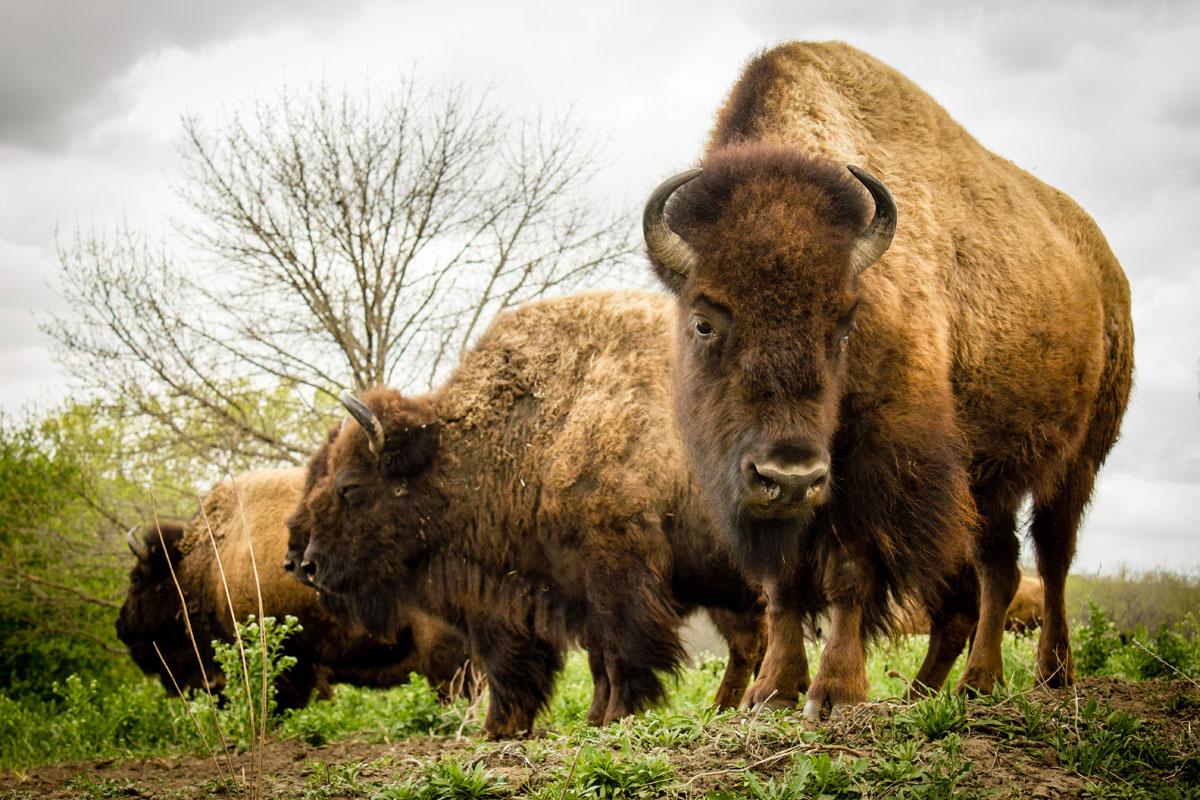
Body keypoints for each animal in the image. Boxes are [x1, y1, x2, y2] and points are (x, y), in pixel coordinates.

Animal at [285, 289, 763, 738]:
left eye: (349, 486)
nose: (306, 565)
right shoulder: (560, 588)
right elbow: (589, 661)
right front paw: (566, 723)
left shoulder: (614, 572)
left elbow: (620, 652)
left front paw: (613, 718)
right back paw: (731, 709)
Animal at [643, 42, 1128, 719]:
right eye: (704, 321)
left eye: (846, 323)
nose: (789, 474)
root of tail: (1109, 271)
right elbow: (782, 584)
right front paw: (772, 691)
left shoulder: (877, 465)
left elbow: (851, 572)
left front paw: (836, 692)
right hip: (989, 483)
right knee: (999, 568)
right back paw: (957, 685)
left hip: (1078, 461)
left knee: (1052, 560)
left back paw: (1048, 675)